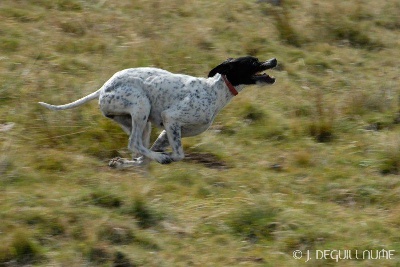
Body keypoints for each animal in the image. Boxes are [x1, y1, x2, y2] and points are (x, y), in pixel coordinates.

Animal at [39, 55, 278, 169]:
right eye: (253, 61)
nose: (274, 60)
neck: (214, 90)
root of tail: (103, 88)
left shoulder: (167, 131)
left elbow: (145, 157)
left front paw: (124, 163)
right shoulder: (170, 118)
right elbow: (179, 155)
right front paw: (167, 157)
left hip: (141, 122)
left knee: (139, 150)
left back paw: (126, 163)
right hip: (141, 106)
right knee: (134, 144)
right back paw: (160, 159)